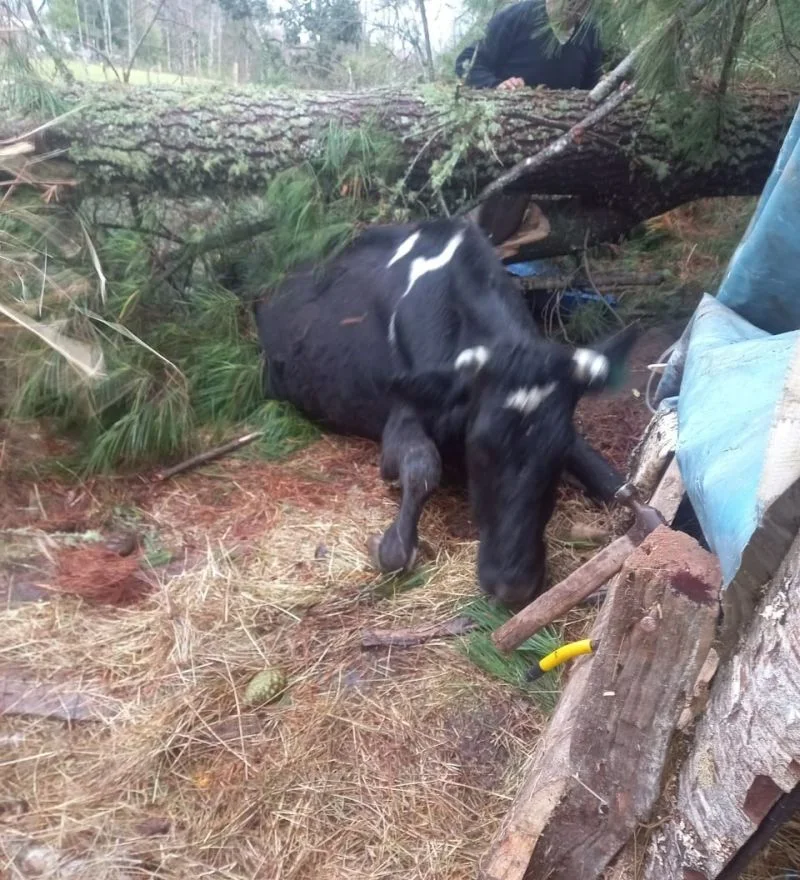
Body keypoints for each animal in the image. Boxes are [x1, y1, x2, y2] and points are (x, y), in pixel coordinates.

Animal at [253, 217, 636, 608]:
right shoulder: (404, 414)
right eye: (478, 448)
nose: (511, 585)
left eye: (556, 454)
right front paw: (388, 546)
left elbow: (611, 479)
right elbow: (422, 466)